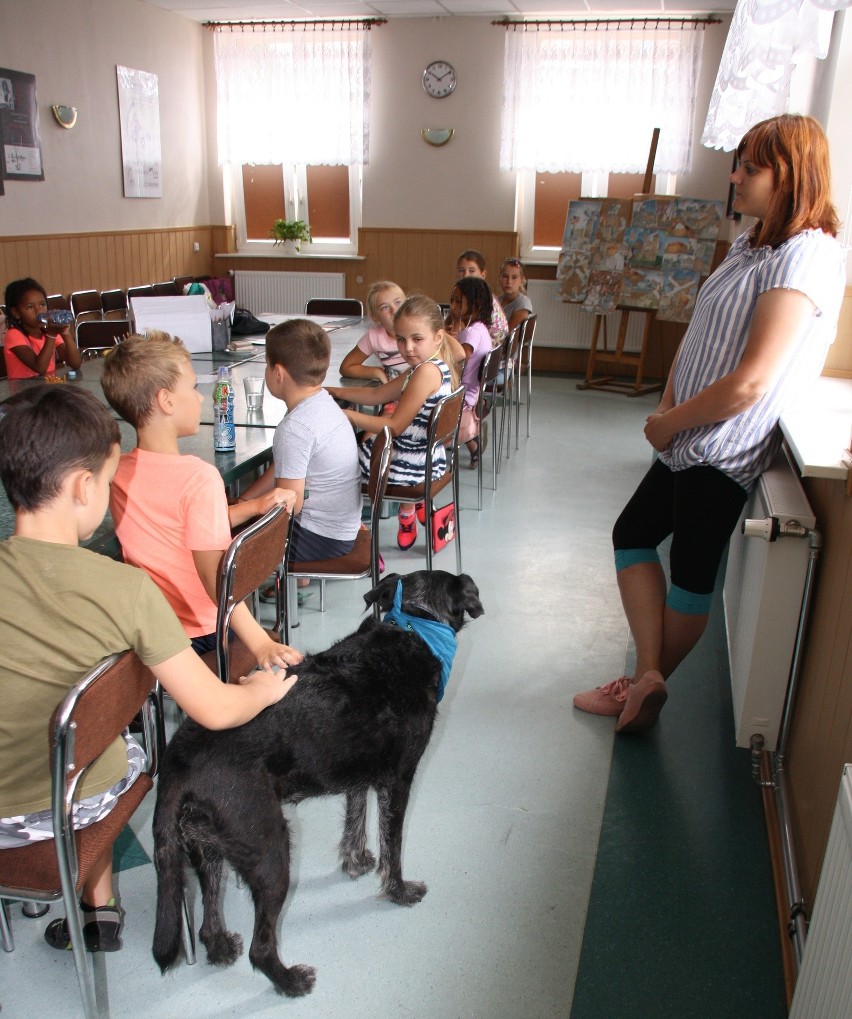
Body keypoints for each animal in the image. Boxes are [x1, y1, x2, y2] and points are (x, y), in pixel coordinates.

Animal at [150, 570, 483, 998]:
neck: (416, 624)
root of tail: (177, 756)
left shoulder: (360, 776)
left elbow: (355, 820)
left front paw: (355, 862)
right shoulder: (398, 781)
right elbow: (392, 846)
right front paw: (398, 891)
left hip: (207, 844)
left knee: (209, 917)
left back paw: (221, 946)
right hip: (271, 849)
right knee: (260, 949)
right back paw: (290, 981)